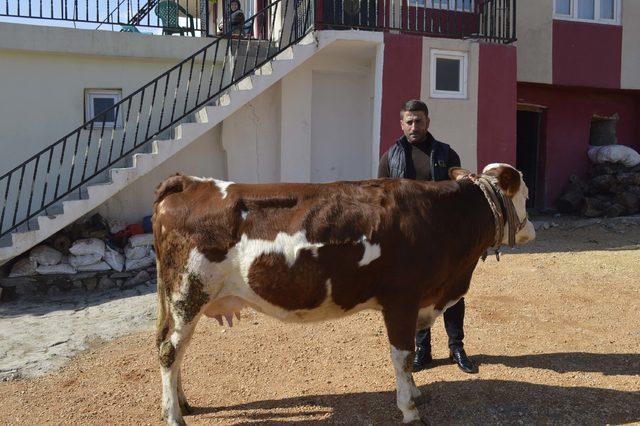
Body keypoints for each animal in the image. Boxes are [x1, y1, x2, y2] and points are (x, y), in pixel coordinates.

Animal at [151, 162, 536, 422]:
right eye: (527, 195)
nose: (531, 228)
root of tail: (190, 183)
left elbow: (409, 355)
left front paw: (415, 392)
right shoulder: (402, 298)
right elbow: (403, 355)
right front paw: (409, 409)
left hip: (181, 299)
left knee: (175, 349)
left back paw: (183, 403)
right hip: (188, 292)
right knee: (170, 351)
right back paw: (173, 416)